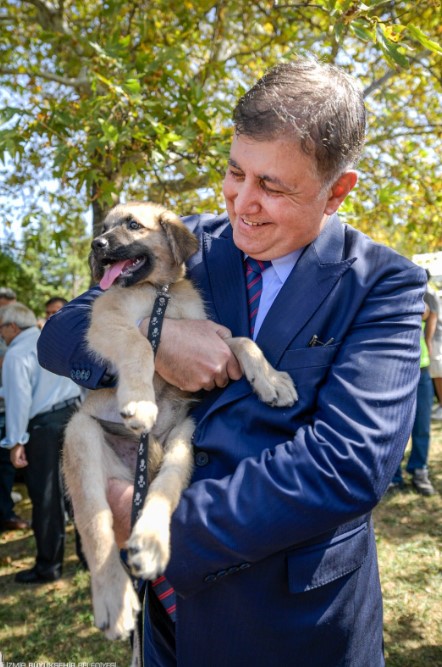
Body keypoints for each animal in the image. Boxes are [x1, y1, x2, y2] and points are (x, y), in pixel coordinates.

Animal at [62, 202, 296, 640]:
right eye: (104, 227)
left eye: (133, 225)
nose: (96, 244)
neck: (158, 294)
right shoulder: (106, 322)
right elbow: (141, 344)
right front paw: (140, 402)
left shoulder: (211, 338)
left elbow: (243, 341)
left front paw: (271, 380)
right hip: (80, 434)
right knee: (95, 526)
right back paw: (113, 599)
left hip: (182, 443)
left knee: (163, 490)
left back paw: (150, 543)